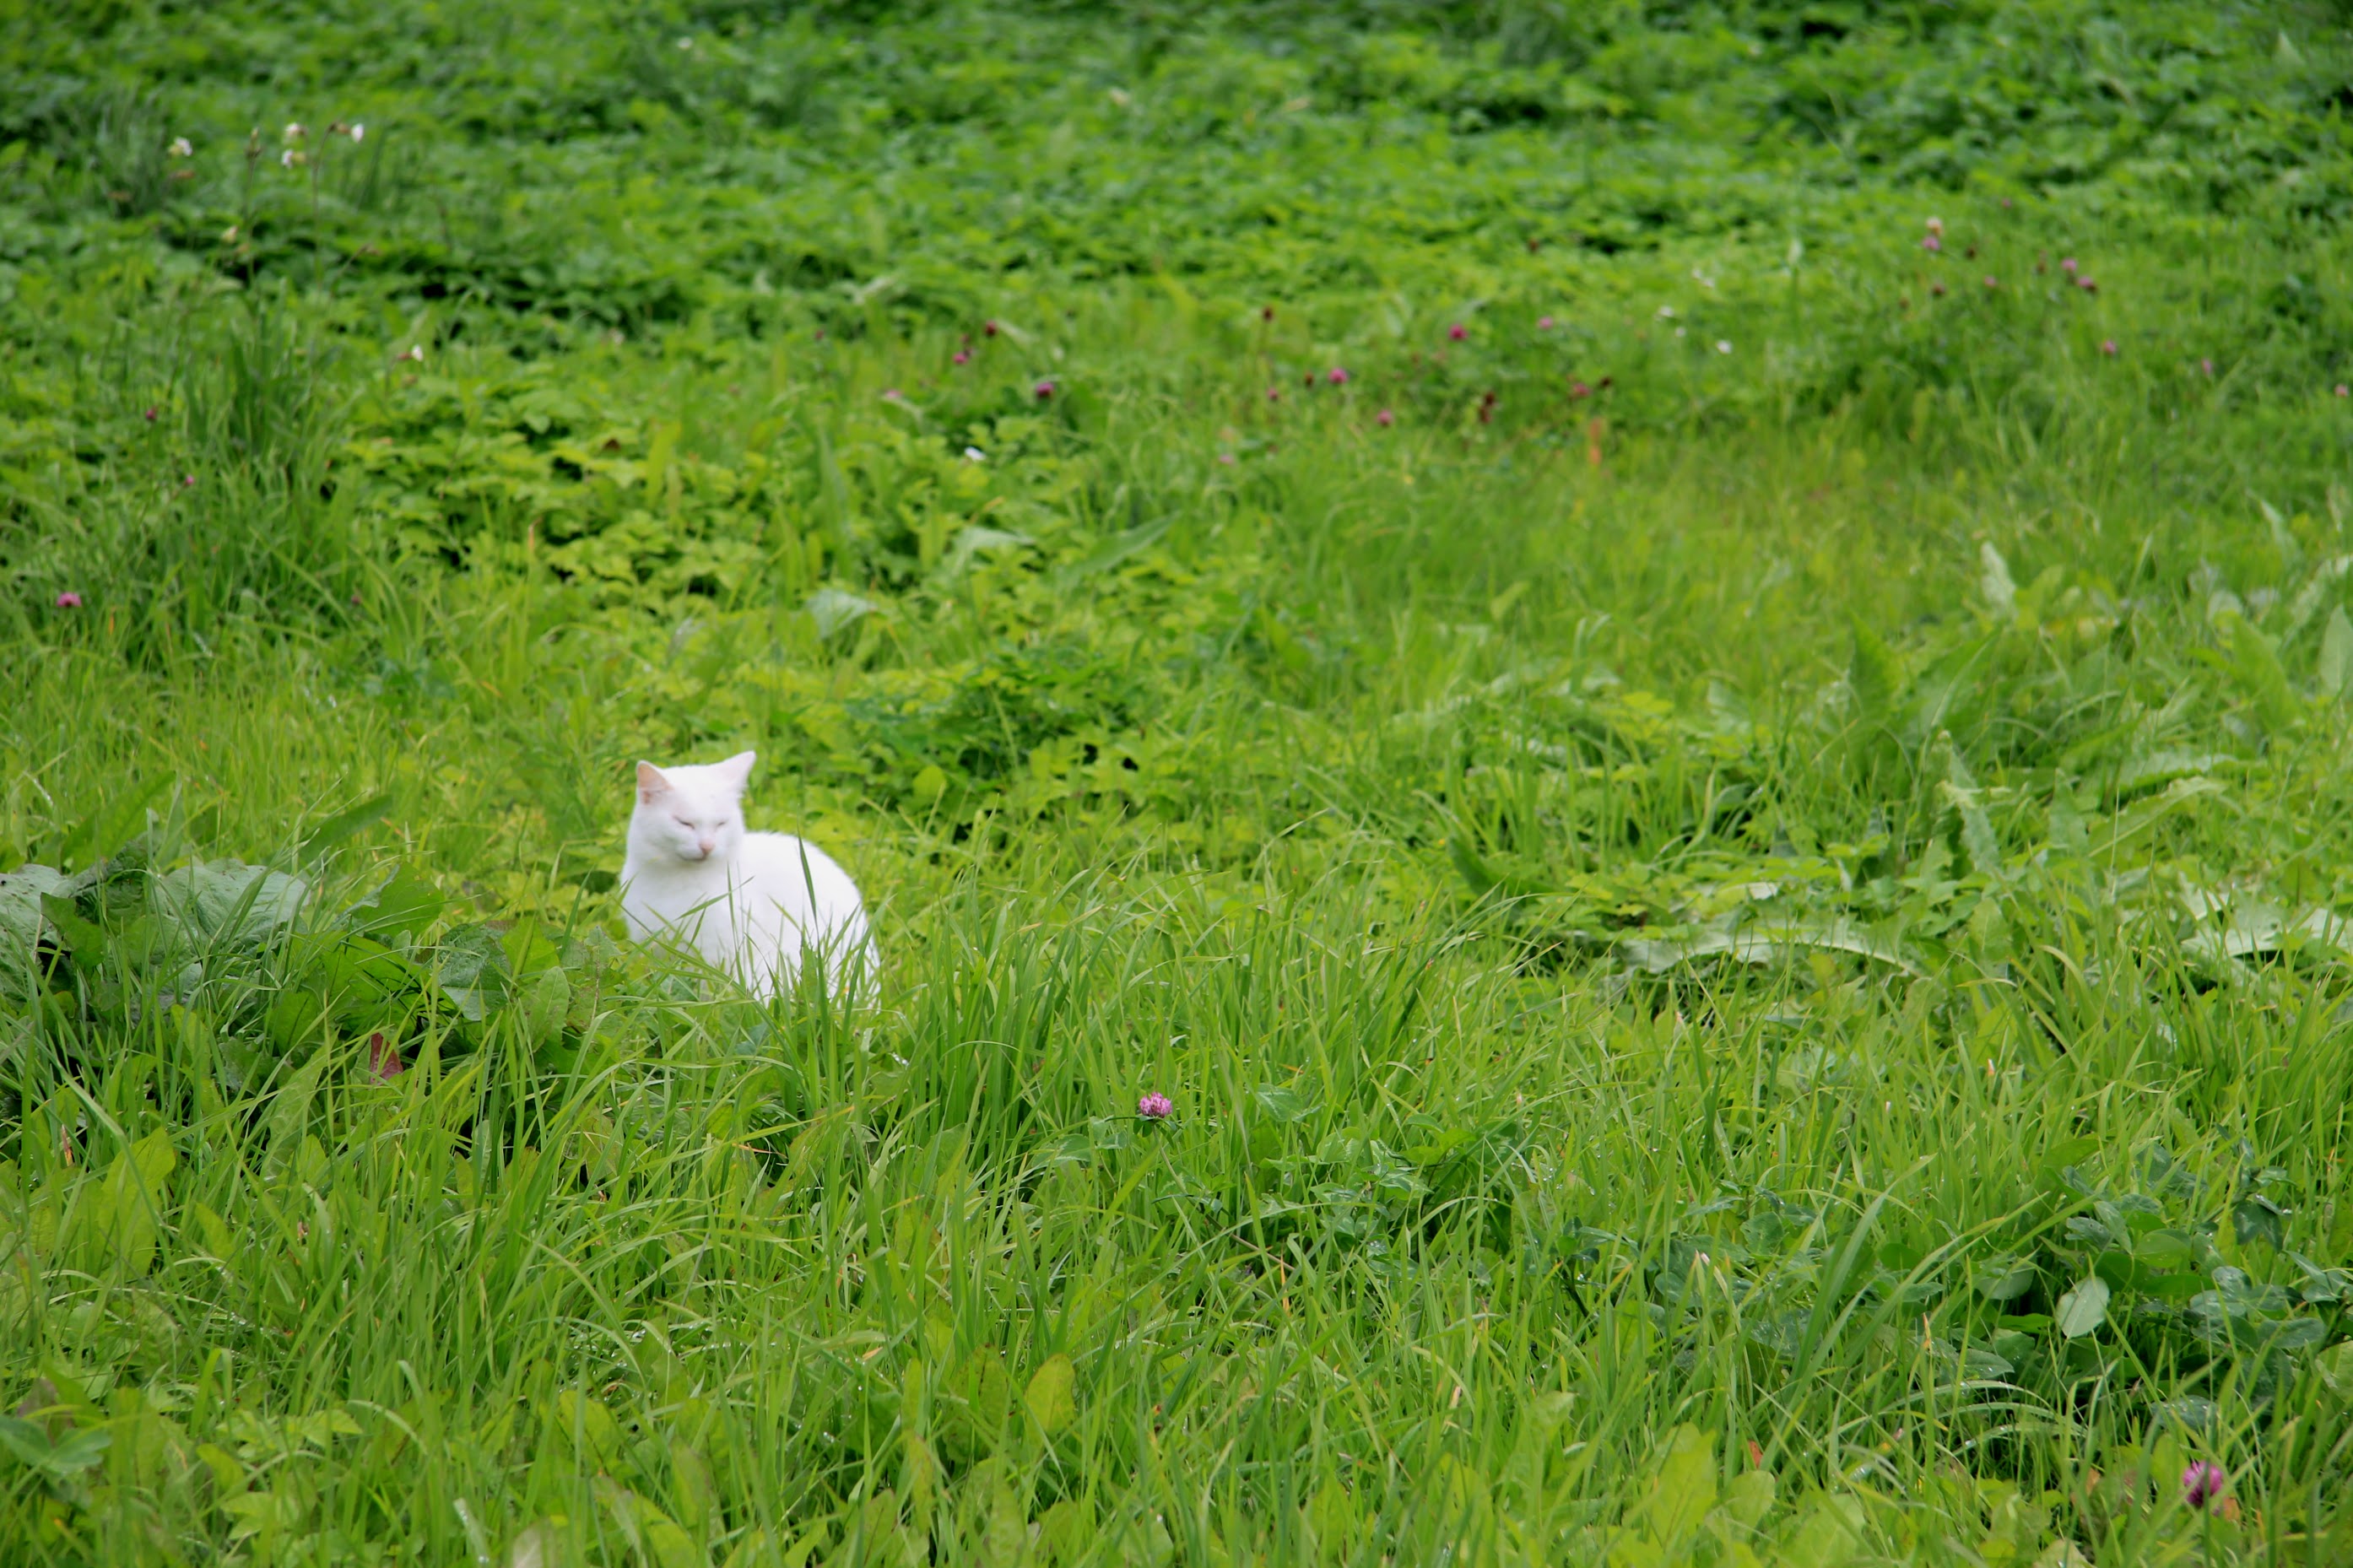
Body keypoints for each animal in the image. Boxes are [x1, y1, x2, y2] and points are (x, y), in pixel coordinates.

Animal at [621, 753, 879, 993]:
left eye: (721, 824)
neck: (676, 879)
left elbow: (706, 987)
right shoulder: (649, 944)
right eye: (684, 823)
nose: (707, 846)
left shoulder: (716, 951)